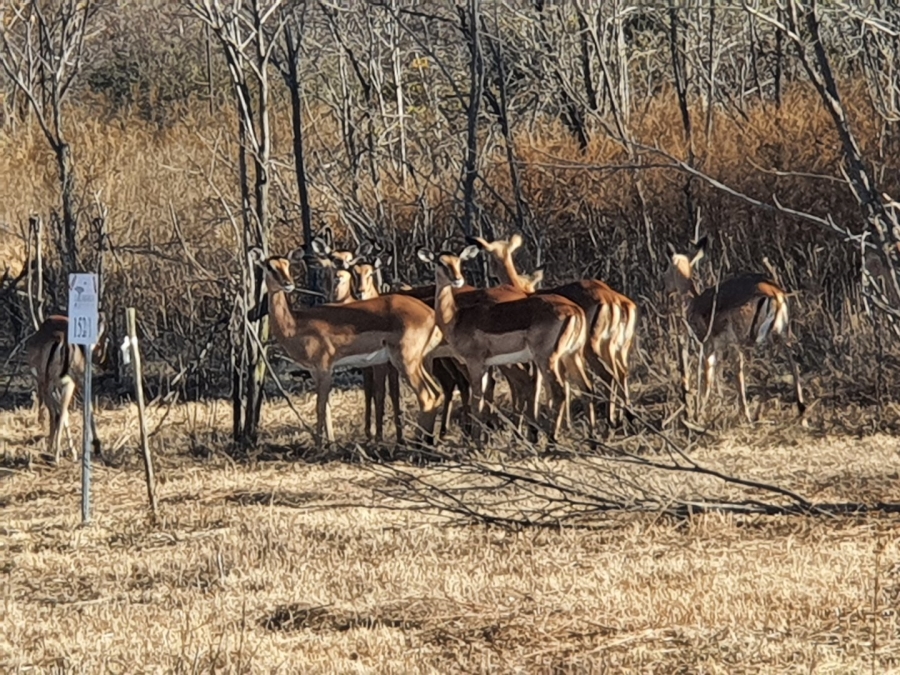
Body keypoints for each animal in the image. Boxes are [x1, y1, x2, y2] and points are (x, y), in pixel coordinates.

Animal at [25, 316, 105, 464]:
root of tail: (61, 339)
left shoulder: (47, 385)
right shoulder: (72, 383)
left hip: (48, 384)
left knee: (56, 413)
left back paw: (53, 451)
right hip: (71, 383)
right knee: (65, 412)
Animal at [251, 248, 442, 448]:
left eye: (287, 265)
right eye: (270, 266)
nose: (288, 284)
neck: (296, 324)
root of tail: (430, 314)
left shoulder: (325, 368)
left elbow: (320, 408)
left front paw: (319, 446)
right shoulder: (314, 371)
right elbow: (326, 408)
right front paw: (330, 444)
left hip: (406, 362)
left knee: (427, 397)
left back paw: (416, 444)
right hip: (418, 362)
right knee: (437, 394)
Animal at [414, 246, 592, 440]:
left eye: (459, 261)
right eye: (440, 262)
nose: (457, 279)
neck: (455, 318)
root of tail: (574, 310)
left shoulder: (474, 363)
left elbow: (477, 401)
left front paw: (474, 441)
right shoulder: (485, 365)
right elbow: (482, 399)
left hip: (547, 359)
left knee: (558, 391)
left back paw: (551, 440)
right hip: (571, 355)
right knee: (586, 388)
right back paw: (591, 440)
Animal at [468, 235, 636, 428]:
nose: (491, 276)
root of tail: (613, 300)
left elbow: (539, 386)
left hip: (590, 349)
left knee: (607, 376)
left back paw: (610, 421)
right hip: (615, 348)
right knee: (621, 373)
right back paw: (626, 417)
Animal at [664, 238, 804, 422]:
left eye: (667, 268)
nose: (665, 289)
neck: (694, 300)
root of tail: (775, 294)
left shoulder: (710, 344)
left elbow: (709, 376)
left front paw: (700, 413)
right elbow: (718, 374)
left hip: (750, 340)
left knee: (753, 372)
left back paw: (751, 415)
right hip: (781, 334)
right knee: (793, 366)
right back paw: (801, 414)